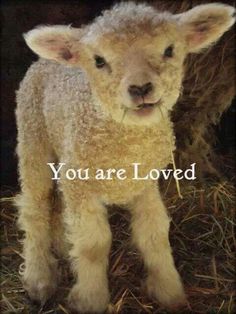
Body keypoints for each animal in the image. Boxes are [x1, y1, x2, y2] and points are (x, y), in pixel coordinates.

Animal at [15, 1, 235, 312]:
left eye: (169, 50)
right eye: (98, 61)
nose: (140, 88)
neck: (124, 146)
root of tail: (43, 61)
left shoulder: (144, 184)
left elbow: (154, 235)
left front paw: (169, 292)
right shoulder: (82, 187)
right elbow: (93, 245)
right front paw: (90, 299)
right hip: (33, 137)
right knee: (35, 207)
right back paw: (39, 279)